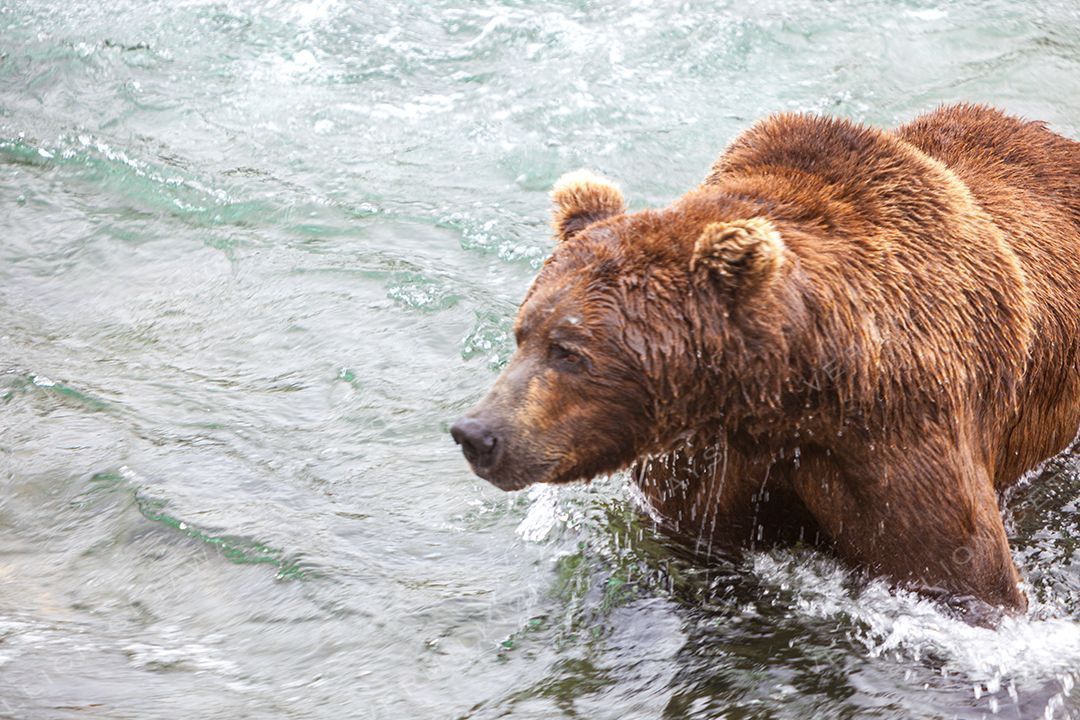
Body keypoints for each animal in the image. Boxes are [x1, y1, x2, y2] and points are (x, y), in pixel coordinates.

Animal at [451, 104, 1080, 618]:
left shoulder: (902, 435)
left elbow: (964, 577)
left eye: (569, 350)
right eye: (522, 333)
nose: (476, 433)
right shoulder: (712, 465)